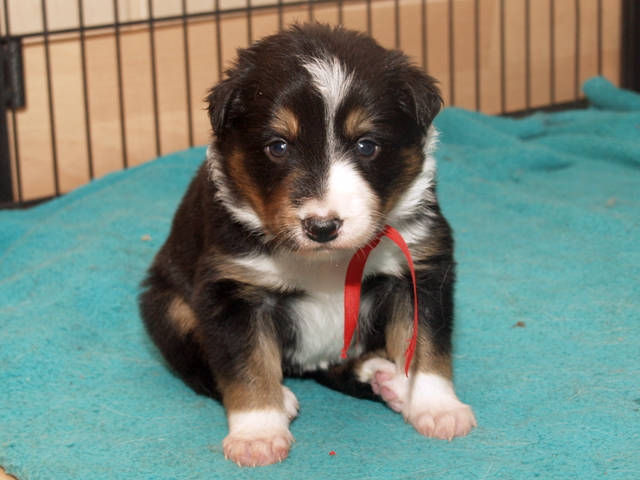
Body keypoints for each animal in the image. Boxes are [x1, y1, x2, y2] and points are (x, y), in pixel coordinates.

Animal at [139, 23, 476, 467]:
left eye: (367, 145)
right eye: (278, 146)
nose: (322, 226)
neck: (327, 261)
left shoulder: (421, 266)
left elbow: (427, 346)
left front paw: (438, 408)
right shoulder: (231, 289)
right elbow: (245, 365)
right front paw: (258, 434)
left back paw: (385, 379)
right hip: (167, 305)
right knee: (200, 368)